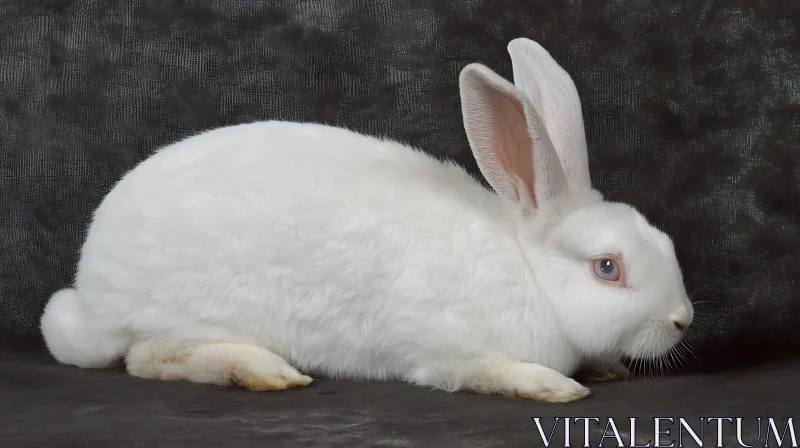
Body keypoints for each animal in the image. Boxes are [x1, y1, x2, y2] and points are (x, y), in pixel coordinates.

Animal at [40, 38, 692, 402]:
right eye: (607, 267)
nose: (681, 320)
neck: (528, 267)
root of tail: (92, 295)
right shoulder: (446, 349)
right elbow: (480, 370)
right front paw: (552, 385)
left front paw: (606, 367)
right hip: (182, 313)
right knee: (148, 358)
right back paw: (260, 370)